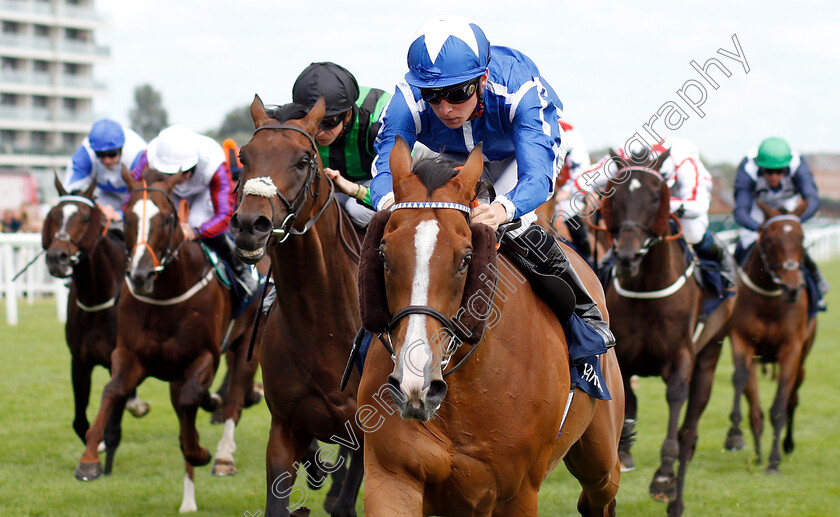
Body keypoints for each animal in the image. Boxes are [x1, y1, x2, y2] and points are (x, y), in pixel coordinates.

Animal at [41, 175, 151, 474]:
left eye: (86, 217)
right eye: (53, 216)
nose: (57, 258)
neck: (98, 297)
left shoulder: (119, 362)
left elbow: (113, 423)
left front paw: (103, 463)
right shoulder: (80, 361)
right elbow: (79, 420)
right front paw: (96, 446)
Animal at [77, 167, 264, 510]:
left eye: (166, 218)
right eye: (126, 215)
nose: (141, 275)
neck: (166, 298)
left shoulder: (204, 357)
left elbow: (190, 402)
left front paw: (200, 452)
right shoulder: (129, 356)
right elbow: (112, 391)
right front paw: (88, 459)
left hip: (248, 344)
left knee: (233, 400)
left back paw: (222, 457)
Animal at [354, 138, 624, 516]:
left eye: (466, 258)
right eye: (382, 254)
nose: (415, 382)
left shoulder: (518, 493)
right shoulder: (393, 477)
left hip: (600, 457)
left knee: (599, 494)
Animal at [724, 201, 816, 472]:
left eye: (802, 238)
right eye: (768, 240)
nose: (792, 288)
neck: (768, 301)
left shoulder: (791, 350)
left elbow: (780, 406)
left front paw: (774, 462)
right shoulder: (742, 341)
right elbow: (743, 385)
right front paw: (741, 440)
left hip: (803, 358)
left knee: (793, 399)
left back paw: (787, 444)